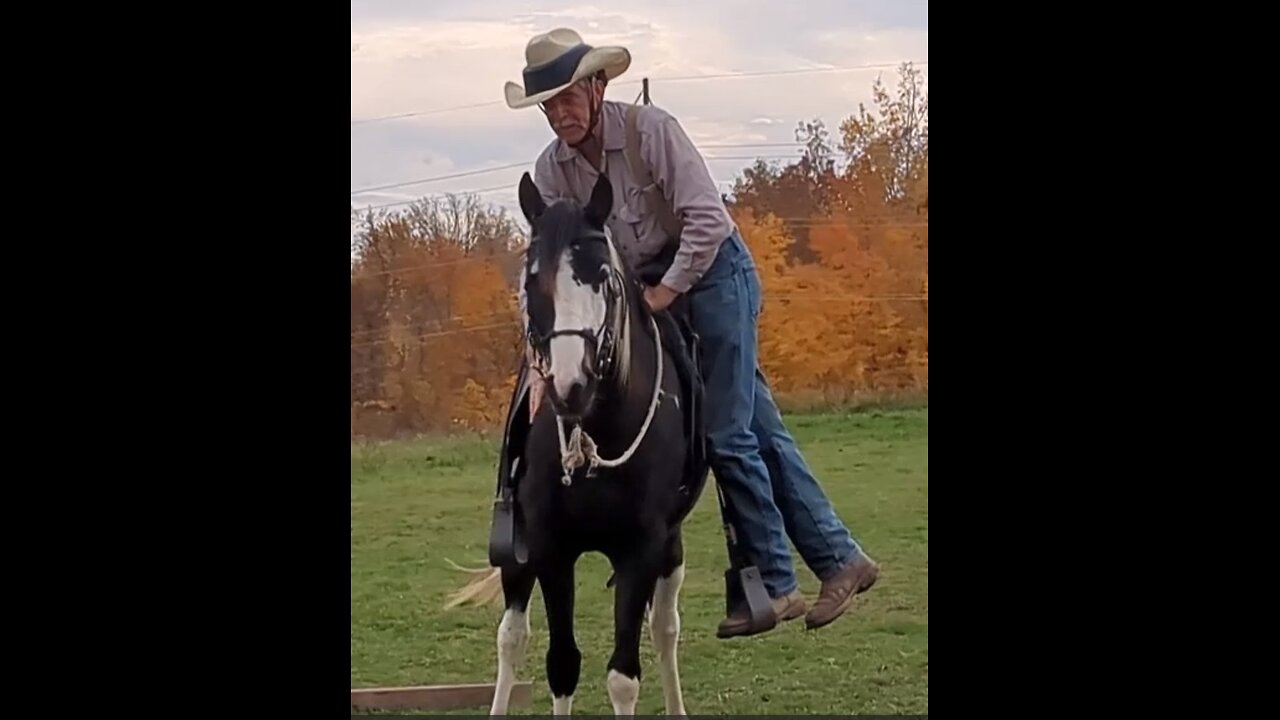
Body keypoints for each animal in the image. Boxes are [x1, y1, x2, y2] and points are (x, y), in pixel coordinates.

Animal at [445, 167, 711, 712]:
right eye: (531, 279)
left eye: (603, 276)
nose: (571, 385)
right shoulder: (549, 548)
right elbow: (561, 664)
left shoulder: (642, 549)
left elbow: (624, 674)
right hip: (516, 553)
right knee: (511, 637)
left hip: (670, 549)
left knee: (665, 629)